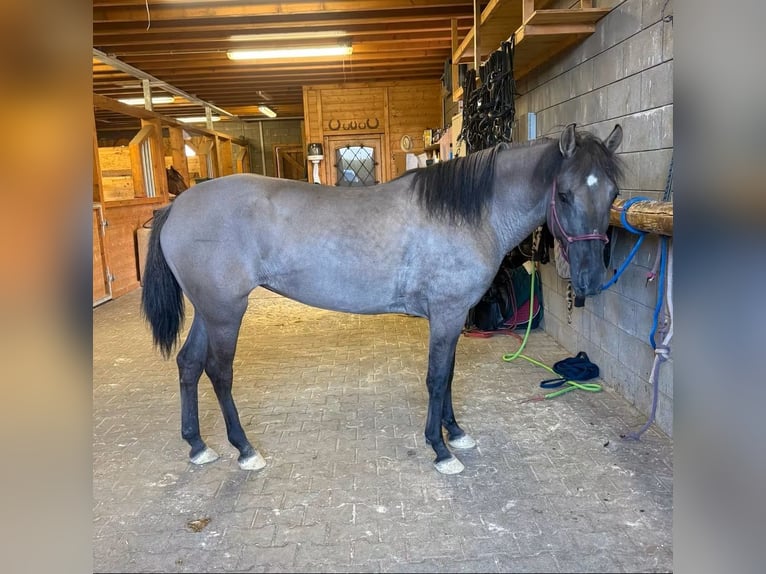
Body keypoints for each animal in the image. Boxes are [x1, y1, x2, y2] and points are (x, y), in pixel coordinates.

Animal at [141, 123, 624, 475]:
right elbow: (436, 378)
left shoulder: (452, 318)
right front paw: (440, 449)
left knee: (188, 364)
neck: (469, 214)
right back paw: (244, 450)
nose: (590, 280)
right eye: (565, 194)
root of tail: (177, 206)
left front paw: (455, 432)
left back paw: (198, 446)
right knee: (219, 373)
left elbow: (448, 376)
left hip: (209, 311)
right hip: (226, 313)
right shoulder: (446, 315)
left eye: (613, 194)